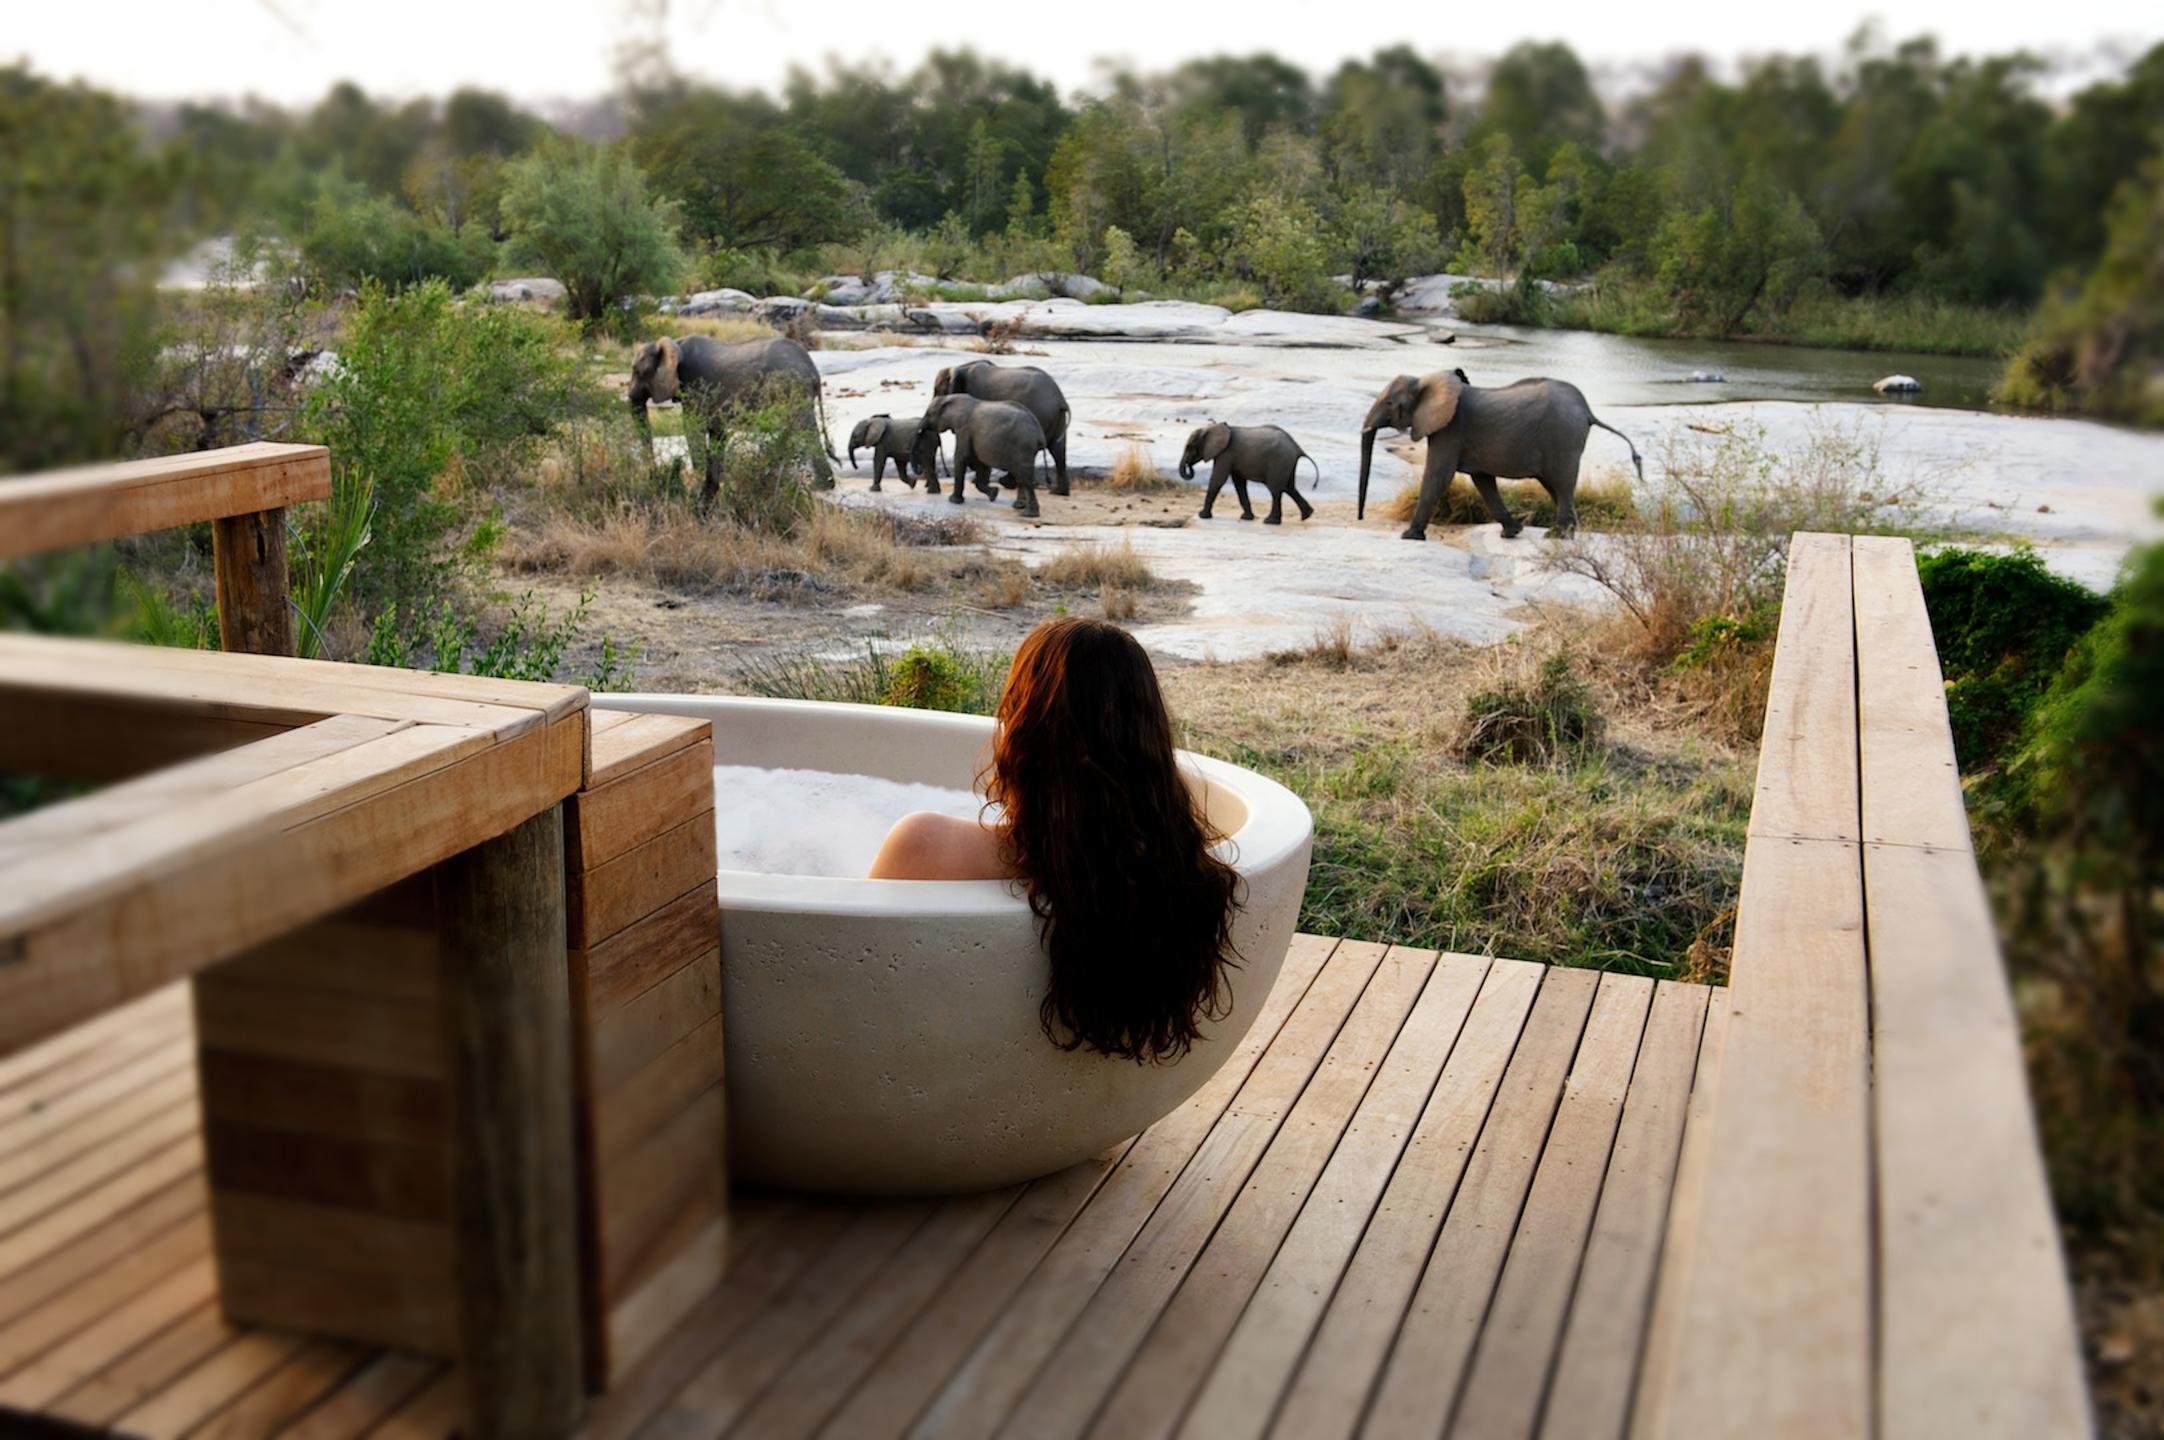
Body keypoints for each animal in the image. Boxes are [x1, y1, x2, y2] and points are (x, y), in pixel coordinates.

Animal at [631, 333, 839, 504]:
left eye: (638, 371)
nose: (654, 473)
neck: (675, 343)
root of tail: (814, 371)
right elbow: (717, 432)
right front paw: (715, 483)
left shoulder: (695, 385)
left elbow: (692, 426)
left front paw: (700, 477)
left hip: (792, 386)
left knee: (804, 428)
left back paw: (819, 486)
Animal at [930, 361, 1073, 498]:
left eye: (937, 391)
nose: (947, 474)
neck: (961, 367)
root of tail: (1060, 399)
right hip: (1057, 419)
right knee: (1058, 451)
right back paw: (1058, 492)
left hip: (1040, 415)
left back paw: (1006, 483)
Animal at [1350, 370, 1635, 539]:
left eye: (1389, 403)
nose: (1360, 517)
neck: (1427, 381)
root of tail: (1586, 410)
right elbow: (1483, 480)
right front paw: (1512, 532)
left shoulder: (1450, 429)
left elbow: (1438, 475)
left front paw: (1409, 536)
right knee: (1556, 485)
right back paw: (1571, 532)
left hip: (1561, 438)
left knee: (1562, 483)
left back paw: (1557, 536)